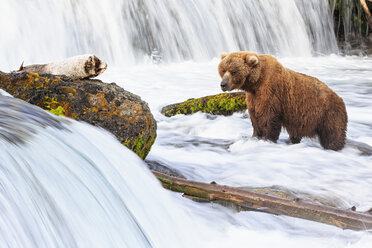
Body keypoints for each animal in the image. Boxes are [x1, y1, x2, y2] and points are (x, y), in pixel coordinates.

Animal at [217, 51, 348, 150]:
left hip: (328, 114)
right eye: (223, 70)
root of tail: (340, 98)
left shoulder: (271, 92)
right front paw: (255, 136)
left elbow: (268, 118)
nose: (223, 84)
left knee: (333, 134)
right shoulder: (253, 98)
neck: (256, 83)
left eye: (233, 71)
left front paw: (267, 139)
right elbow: (255, 118)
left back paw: (334, 147)